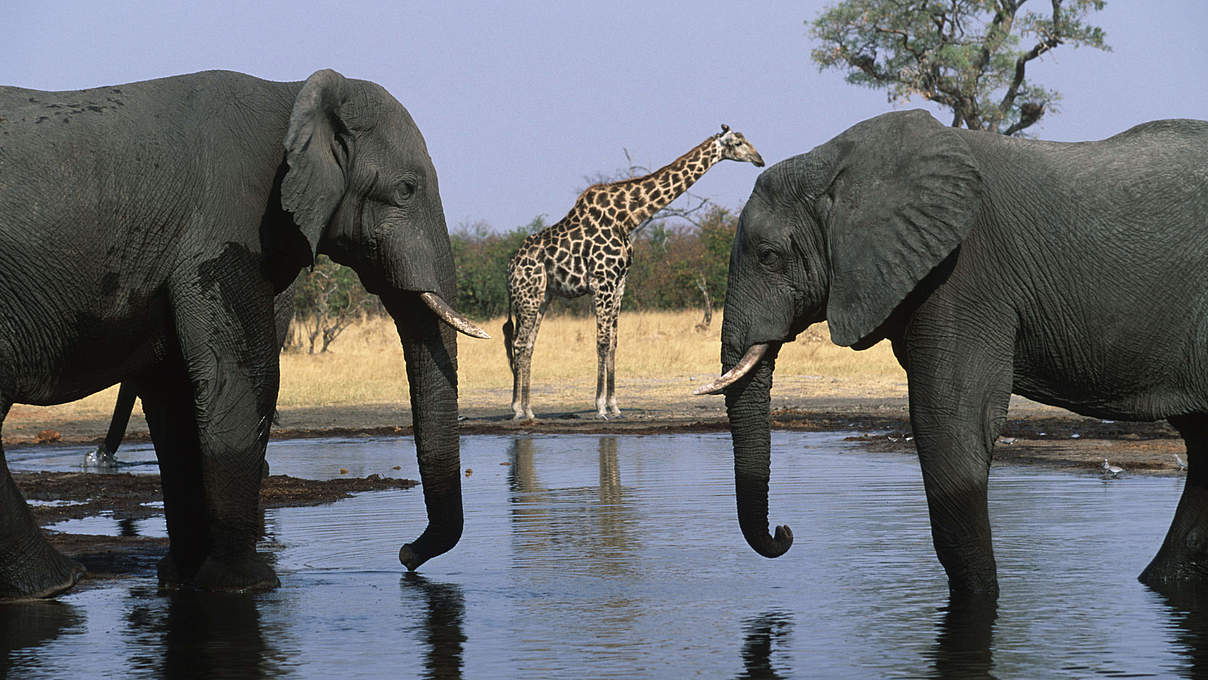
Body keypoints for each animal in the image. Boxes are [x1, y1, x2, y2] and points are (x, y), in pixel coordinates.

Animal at [2, 70, 490, 601]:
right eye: (406, 189)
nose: (405, 556)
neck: (293, 95)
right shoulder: (224, 229)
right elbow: (242, 376)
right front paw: (244, 584)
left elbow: (177, 392)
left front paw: (185, 579)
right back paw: (57, 581)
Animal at [500, 124, 763, 417]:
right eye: (738, 143)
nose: (759, 159)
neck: (626, 218)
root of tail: (510, 267)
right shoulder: (602, 280)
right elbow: (602, 341)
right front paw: (600, 407)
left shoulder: (619, 282)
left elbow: (614, 342)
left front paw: (614, 405)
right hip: (528, 296)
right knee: (519, 343)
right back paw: (518, 409)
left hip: (541, 296)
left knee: (527, 345)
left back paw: (527, 408)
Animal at [695, 111, 1208, 601]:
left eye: (769, 256)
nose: (784, 531)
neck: (838, 161)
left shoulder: (965, 273)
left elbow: (950, 420)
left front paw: (981, 600)